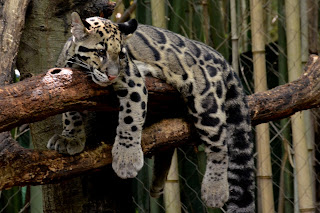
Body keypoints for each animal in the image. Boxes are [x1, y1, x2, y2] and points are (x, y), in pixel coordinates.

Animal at [47, 12, 256, 212]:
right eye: (100, 52)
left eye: (121, 55)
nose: (113, 75)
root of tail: (219, 56)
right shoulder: (67, 82)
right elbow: (70, 112)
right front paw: (71, 138)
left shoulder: (132, 81)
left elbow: (130, 119)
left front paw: (127, 159)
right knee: (167, 140)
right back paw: (157, 184)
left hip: (206, 102)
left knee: (219, 146)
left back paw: (215, 190)